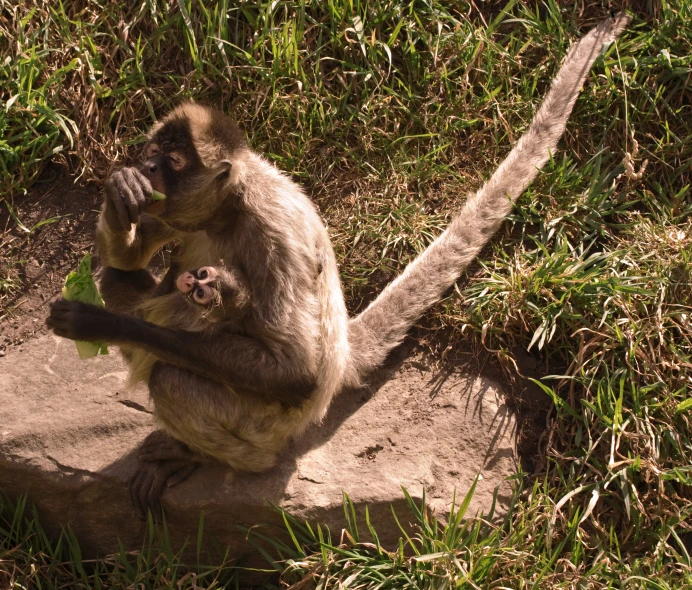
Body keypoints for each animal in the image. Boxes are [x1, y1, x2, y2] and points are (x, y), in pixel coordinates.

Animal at [47, 13, 632, 520]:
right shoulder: (186, 213)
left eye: (170, 162)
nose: (145, 167)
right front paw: (121, 192)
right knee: (119, 278)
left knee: (173, 375)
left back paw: (202, 451)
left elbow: (296, 373)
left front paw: (98, 322)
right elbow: (127, 259)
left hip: (267, 424)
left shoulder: (273, 232)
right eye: (151, 154)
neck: (231, 206)